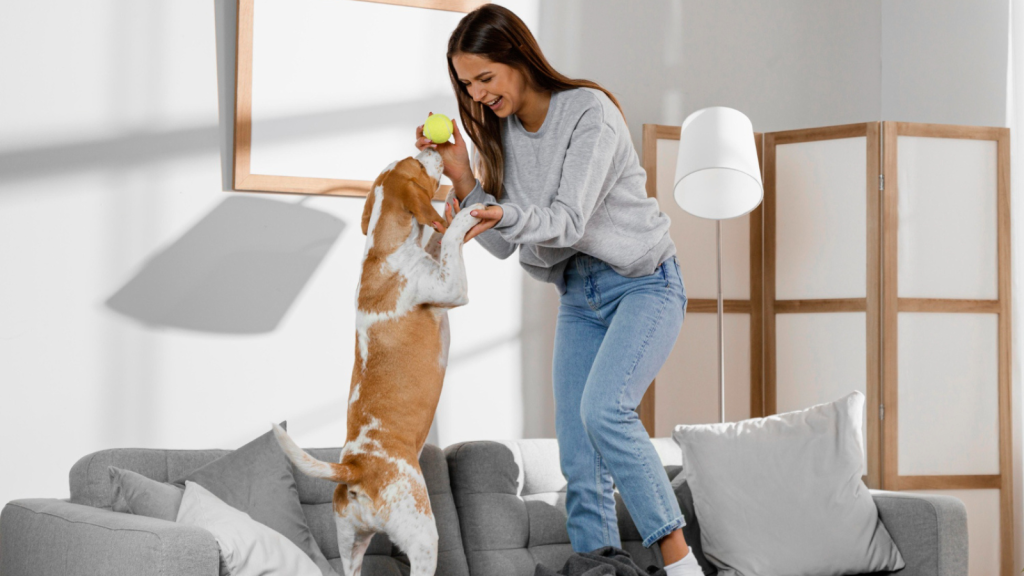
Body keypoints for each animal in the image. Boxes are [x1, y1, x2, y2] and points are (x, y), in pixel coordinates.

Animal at [270, 146, 481, 573]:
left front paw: (454, 205)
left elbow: (437, 234)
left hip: (351, 547)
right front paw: (465, 215)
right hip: (423, 539)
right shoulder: (451, 287)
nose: (430, 147)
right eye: (418, 163)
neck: (385, 250)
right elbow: (450, 236)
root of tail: (355, 466)